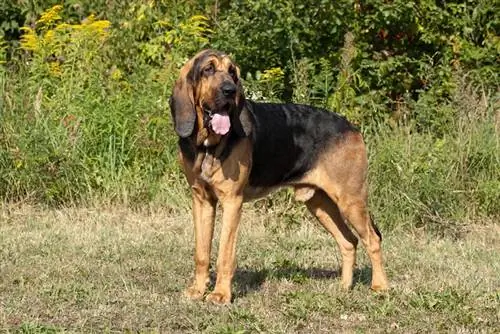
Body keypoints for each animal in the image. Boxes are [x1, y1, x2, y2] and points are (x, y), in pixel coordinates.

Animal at [170, 49, 388, 306]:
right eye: (208, 69)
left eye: (232, 72)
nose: (230, 91)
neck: (207, 145)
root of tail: (353, 128)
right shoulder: (202, 201)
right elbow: (201, 253)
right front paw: (197, 290)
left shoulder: (232, 201)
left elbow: (225, 254)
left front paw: (221, 294)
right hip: (320, 204)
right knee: (349, 241)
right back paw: (344, 287)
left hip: (350, 201)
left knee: (372, 239)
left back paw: (380, 287)